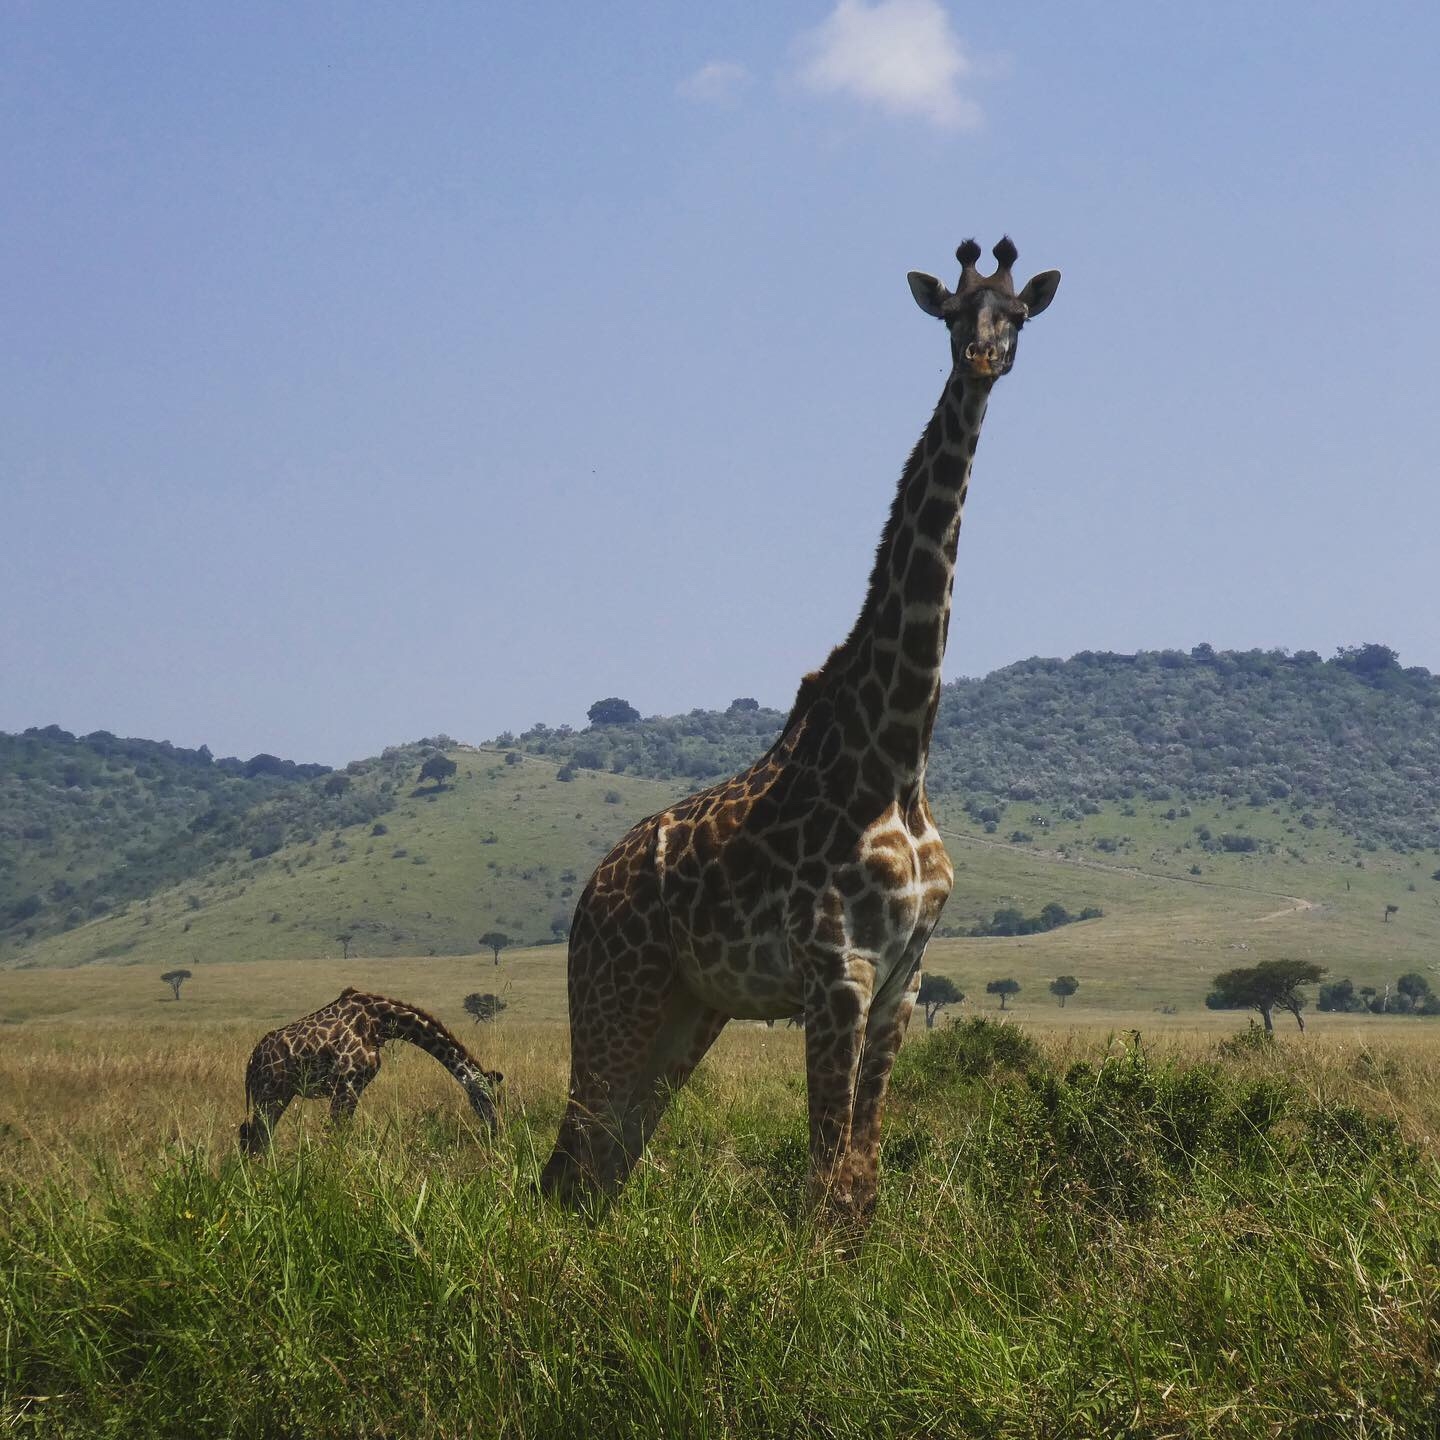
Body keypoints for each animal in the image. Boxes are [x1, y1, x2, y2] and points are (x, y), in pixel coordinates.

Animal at [239, 987, 503, 1154]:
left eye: (498, 1099)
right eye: (485, 1098)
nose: (496, 1130)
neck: (380, 1022)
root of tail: (251, 1063)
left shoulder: (352, 1086)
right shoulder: (347, 1083)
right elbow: (338, 1133)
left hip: (280, 1095)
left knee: (253, 1139)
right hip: (269, 1095)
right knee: (256, 1141)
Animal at [540, 237, 1061, 1217]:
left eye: (1015, 316)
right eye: (951, 314)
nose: (981, 361)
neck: (899, 755)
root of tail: (591, 890)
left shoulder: (902, 981)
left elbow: (861, 1177)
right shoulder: (837, 974)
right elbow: (824, 1182)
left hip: (687, 1009)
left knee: (608, 1158)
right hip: (615, 992)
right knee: (570, 1162)